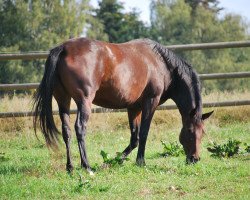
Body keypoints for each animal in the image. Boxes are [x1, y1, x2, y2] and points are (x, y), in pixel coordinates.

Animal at [33, 38, 213, 173]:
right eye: (189, 131)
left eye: (202, 132)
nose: (195, 158)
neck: (161, 64)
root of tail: (64, 48)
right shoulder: (150, 102)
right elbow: (144, 133)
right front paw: (140, 161)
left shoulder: (134, 108)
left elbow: (135, 138)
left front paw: (113, 161)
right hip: (84, 102)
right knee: (80, 128)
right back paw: (87, 166)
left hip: (63, 100)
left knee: (67, 131)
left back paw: (70, 167)